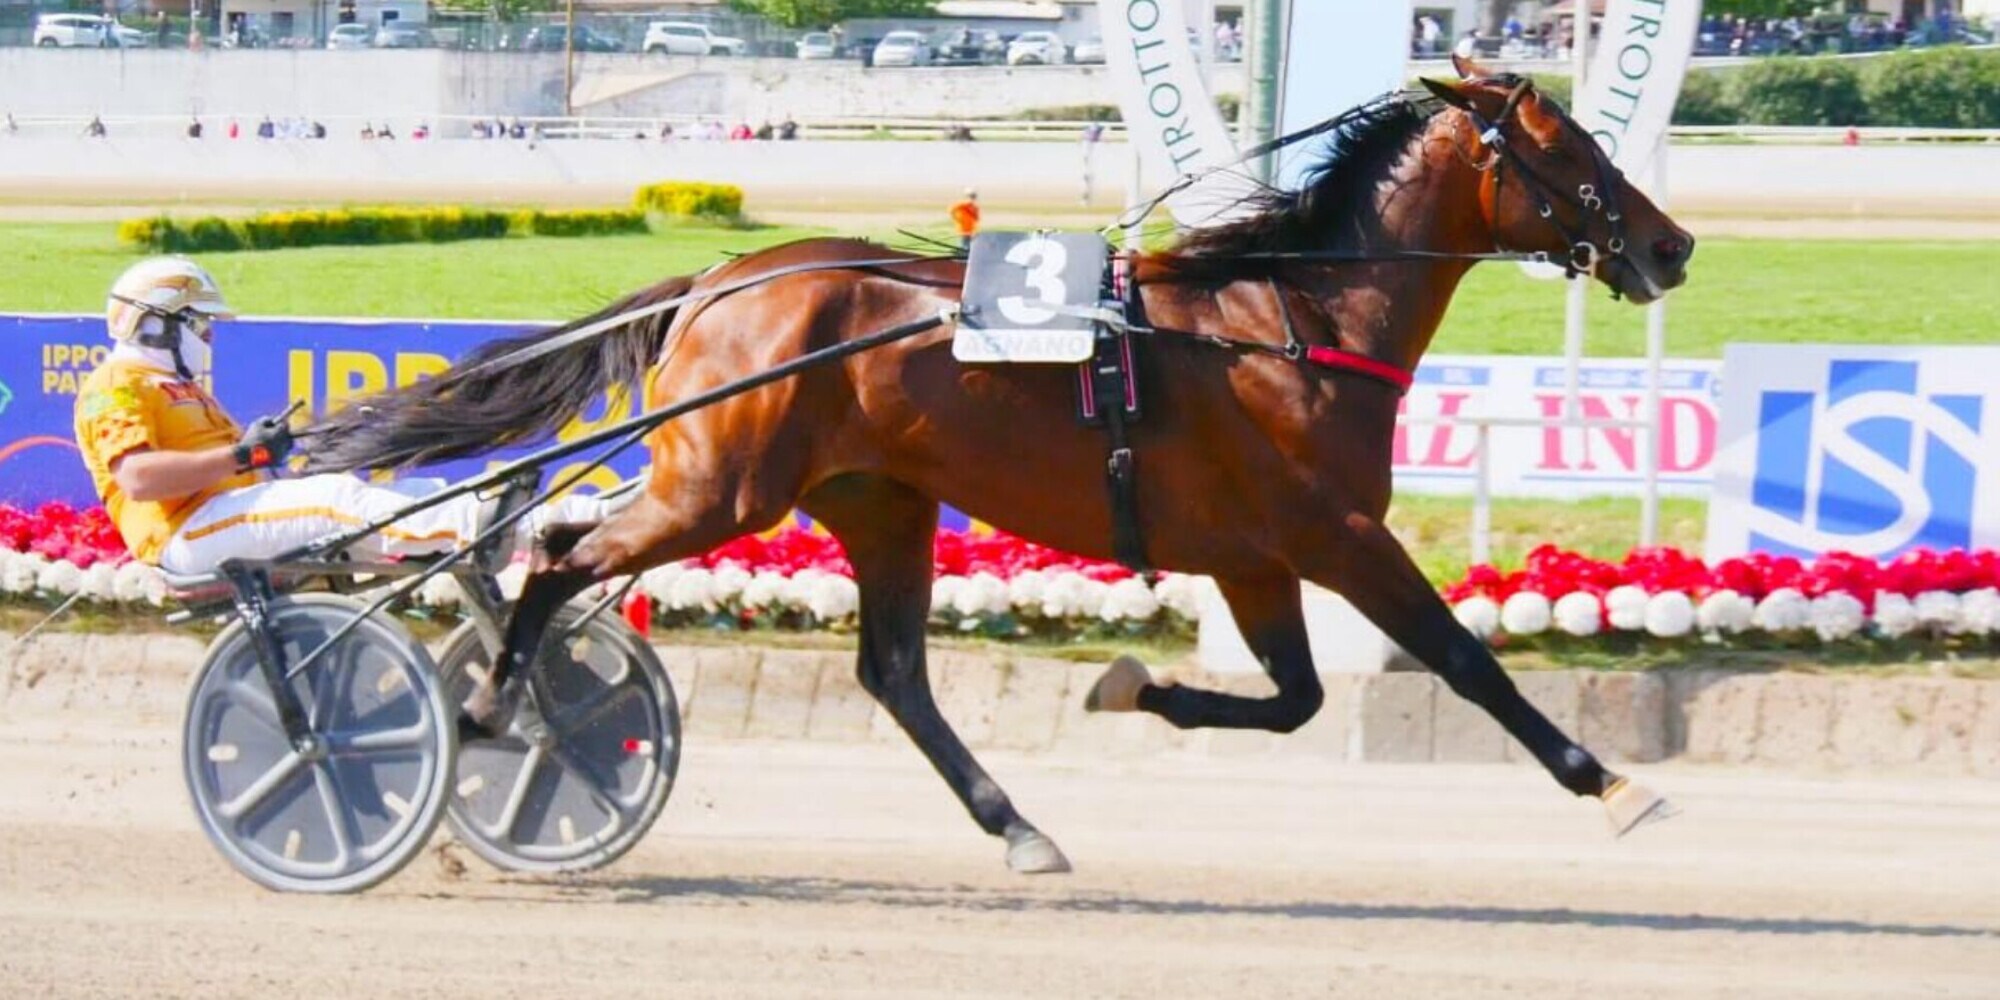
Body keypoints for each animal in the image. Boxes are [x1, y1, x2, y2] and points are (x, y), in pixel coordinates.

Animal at [304, 60, 1696, 874]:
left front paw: (1135, 687)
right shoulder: (1334, 534)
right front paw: (1616, 786)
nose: (1671, 245)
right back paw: (493, 706)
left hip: (875, 501)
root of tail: (722, 280)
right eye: (1573, 151)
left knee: (890, 672)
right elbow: (1464, 659)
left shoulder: (1255, 555)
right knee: (549, 553)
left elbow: (1295, 699)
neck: (1288, 319)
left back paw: (1017, 824)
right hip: (722, 489)